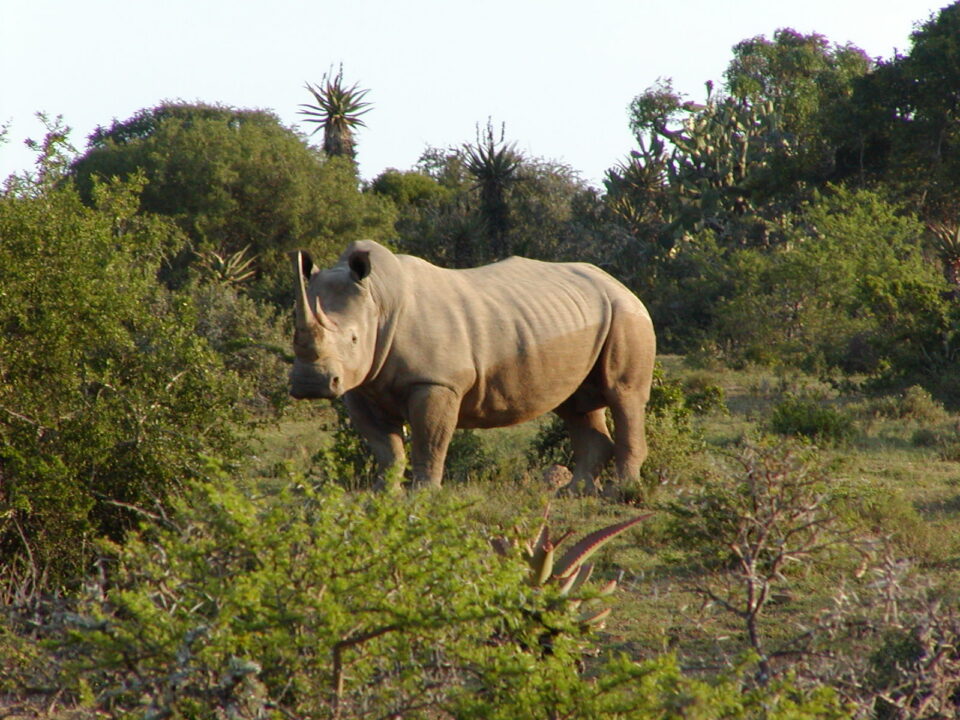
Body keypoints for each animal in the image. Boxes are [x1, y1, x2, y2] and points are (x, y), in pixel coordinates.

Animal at [290, 240, 656, 492]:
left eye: (353, 338)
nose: (310, 384)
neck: (378, 301)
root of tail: (618, 282)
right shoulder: (362, 385)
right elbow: (386, 447)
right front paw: (382, 494)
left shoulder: (436, 382)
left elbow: (429, 441)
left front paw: (422, 495)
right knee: (576, 404)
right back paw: (573, 493)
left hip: (626, 313)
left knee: (623, 395)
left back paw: (619, 493)